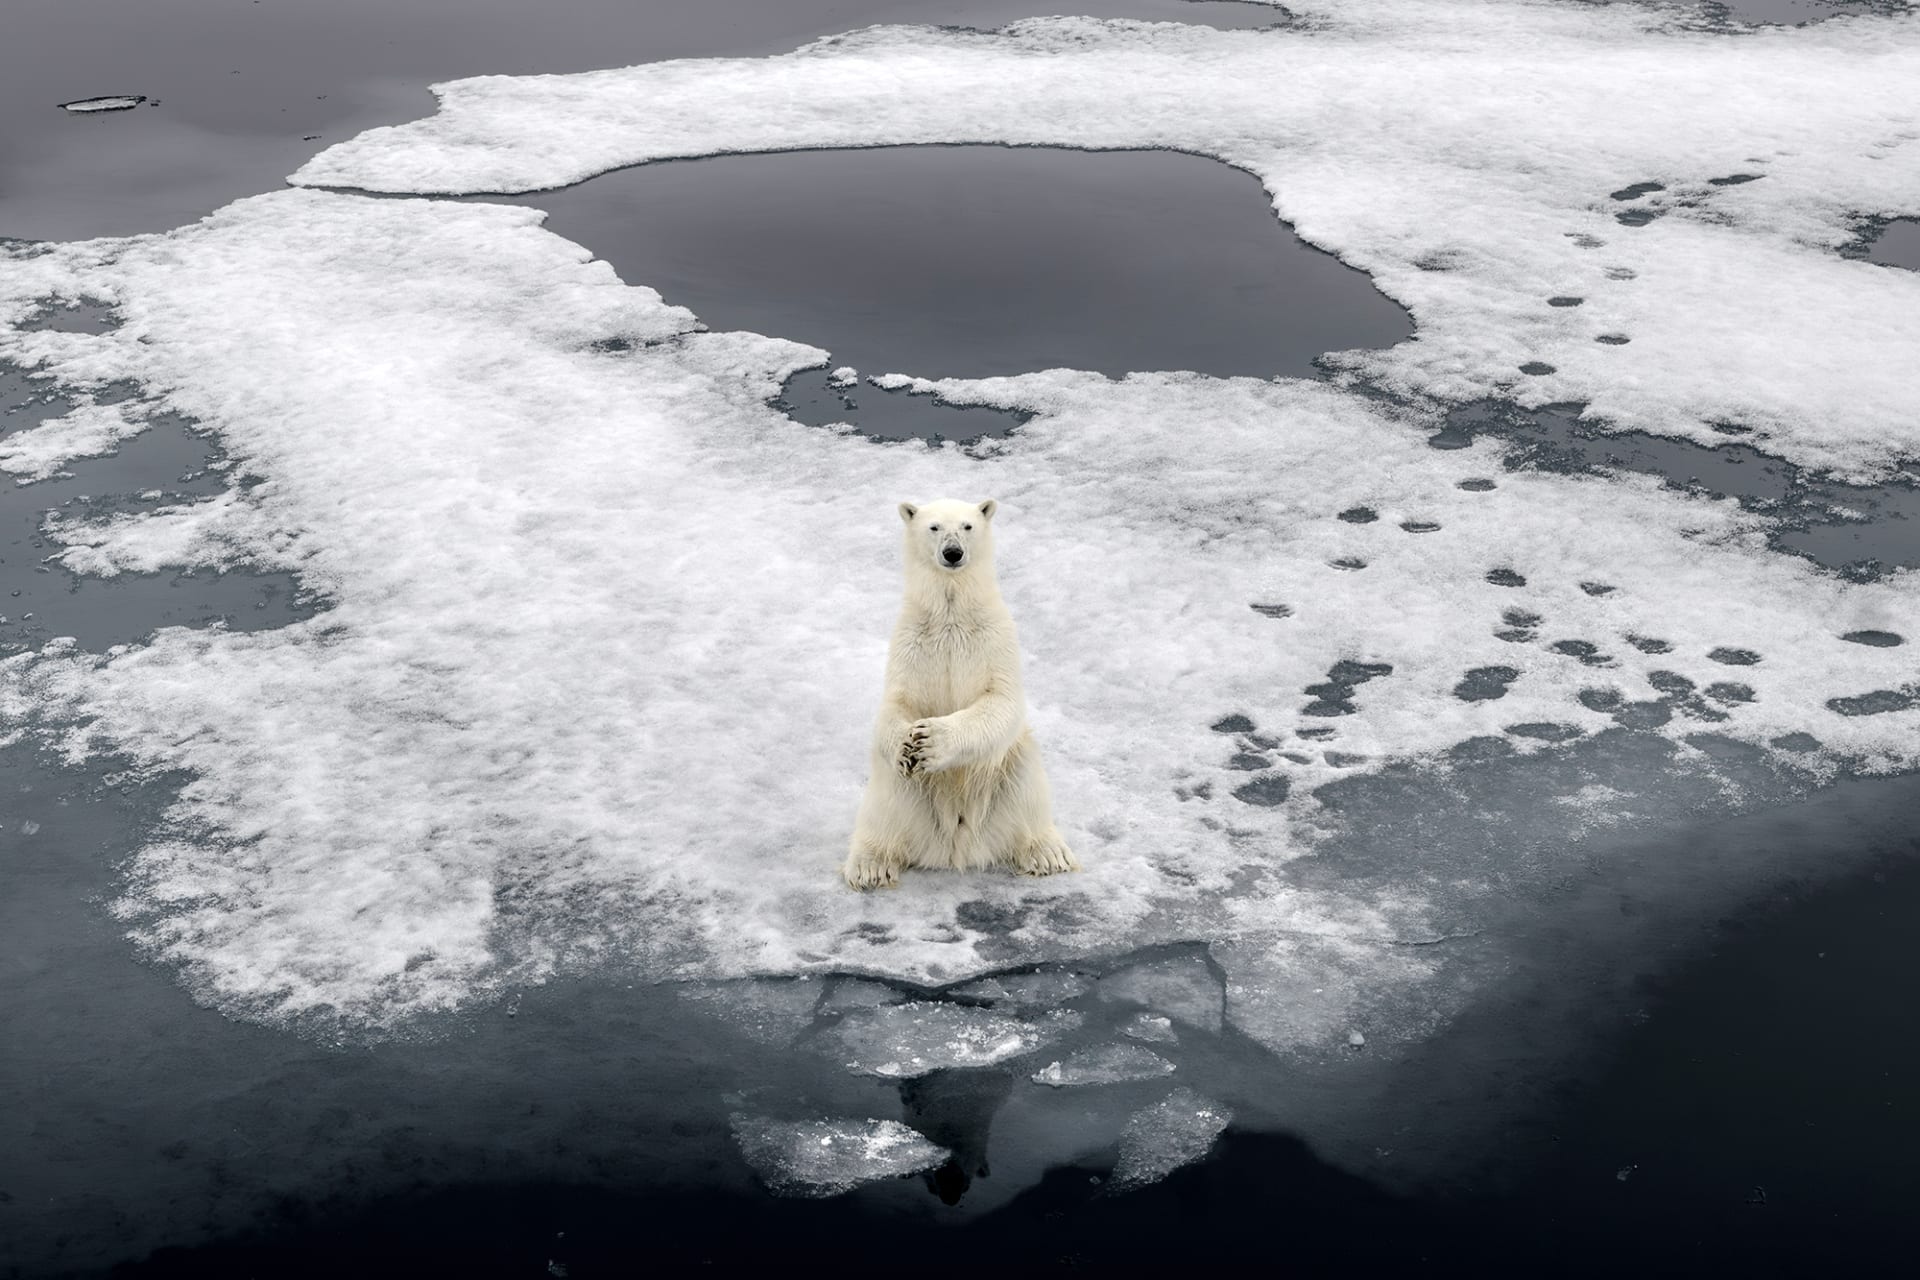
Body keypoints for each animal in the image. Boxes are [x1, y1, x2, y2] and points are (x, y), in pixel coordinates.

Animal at [843, 498, 1079, 890]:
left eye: (968, 526)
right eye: (934, 527)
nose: (952, 553)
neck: (951, 615)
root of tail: (956, 846)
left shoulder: (995, 636)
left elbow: (1002, 701)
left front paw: (930, 741)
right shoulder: (911, 640)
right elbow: (896, 703)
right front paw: (907, 745)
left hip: (1007, 774)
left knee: (1025, 779)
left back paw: (1048, 853)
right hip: (906, 796)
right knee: (886, 798)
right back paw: (869, 865)